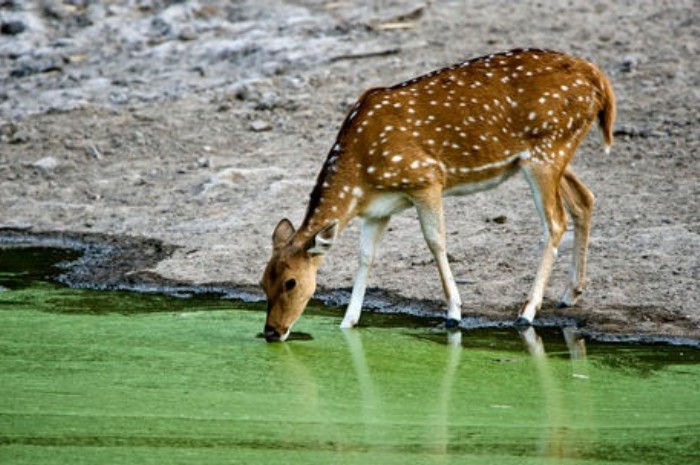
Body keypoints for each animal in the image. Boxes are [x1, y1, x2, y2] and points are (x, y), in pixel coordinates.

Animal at [260, 49, 616, 340]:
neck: (361, 175)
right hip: (555, 152)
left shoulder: (426, 177)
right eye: (263, 281)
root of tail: (599, 80)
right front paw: (348, 322)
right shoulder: (378, 209)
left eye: (291, 282)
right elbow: (365, 256)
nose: (272, 332)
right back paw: (570, 293)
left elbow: (435, 241)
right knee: (585, 199)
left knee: (555, 221)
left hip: (547, 150)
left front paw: (455, 313)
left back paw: (527, 312)